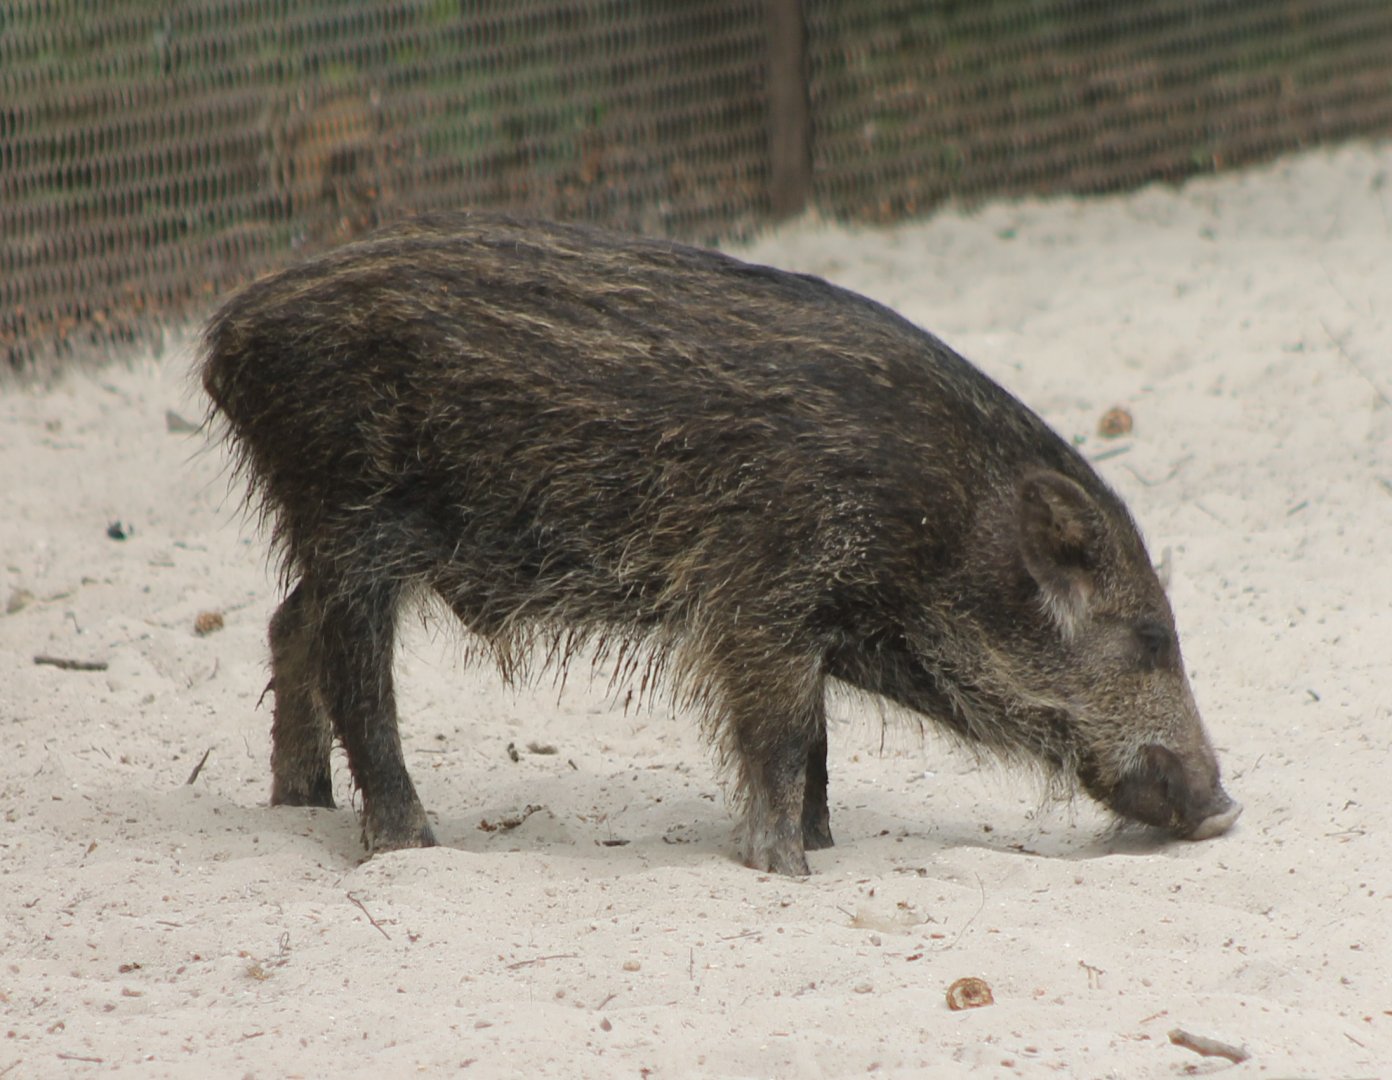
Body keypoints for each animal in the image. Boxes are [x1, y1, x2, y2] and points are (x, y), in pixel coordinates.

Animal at [201, 211, 1240, 875]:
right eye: (1151, 637)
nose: (1226, 807)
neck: (934, 521)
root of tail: (227, 338)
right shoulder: (759, 598)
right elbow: (782, 733)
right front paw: (783, 868)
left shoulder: (804, 621)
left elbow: (815, 738)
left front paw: (820, 846)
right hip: (347, 513)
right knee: (352, 667)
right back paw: (408, 843)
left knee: (286, 623)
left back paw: (302, 805)